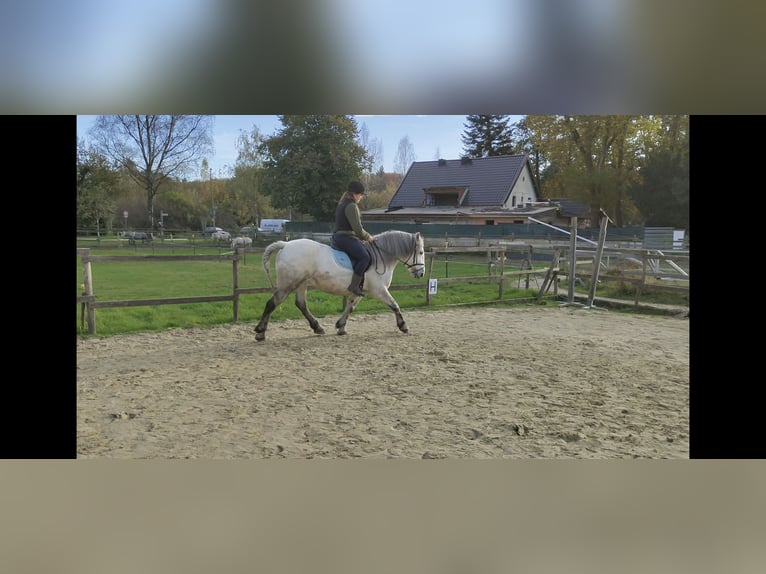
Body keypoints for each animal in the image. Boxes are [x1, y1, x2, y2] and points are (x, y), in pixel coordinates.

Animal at [255, 232, 428, 344]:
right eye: (420, 252)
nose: (421, 273)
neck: (381, 257)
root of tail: (285, 244)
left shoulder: (359, 291)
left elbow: (350, 307)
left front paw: (340, 326)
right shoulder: (379, 290)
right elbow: (394, 305)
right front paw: (403, 326)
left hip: (301, 284)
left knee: (301, 304)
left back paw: (317, 327)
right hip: (288, 284)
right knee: (272, 303)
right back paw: (260, 332)